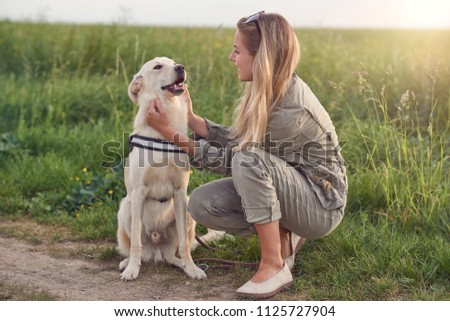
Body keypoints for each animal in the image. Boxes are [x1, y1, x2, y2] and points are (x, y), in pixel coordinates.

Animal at [115, 57, 222, 280]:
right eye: (157, 66)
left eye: (174, 63)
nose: (181, 67)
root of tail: (156, 251)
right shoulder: (138, 193)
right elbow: (135, 243)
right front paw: (132, 270)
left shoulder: (180, 192)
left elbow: (184, 244)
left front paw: (192, 268)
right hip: (126, 208)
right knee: (135, 248)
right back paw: (128, 263)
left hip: (189, 212)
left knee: (175, 252)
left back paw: (183, 264)